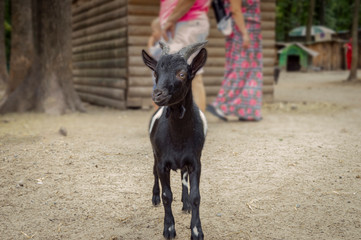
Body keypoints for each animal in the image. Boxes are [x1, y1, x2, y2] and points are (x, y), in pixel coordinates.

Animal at [141, 40, 207, 238]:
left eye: (182, 74)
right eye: (156, 73)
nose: (157, 94)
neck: (178, 137)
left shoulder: (195, 161)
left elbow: (196, 196)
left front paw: (196, 231)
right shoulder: (163, 162)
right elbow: (167, 196)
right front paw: (169, 229)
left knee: (183, 177)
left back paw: (185, 204)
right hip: (154, 153)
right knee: (154, 172)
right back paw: (154, 197)